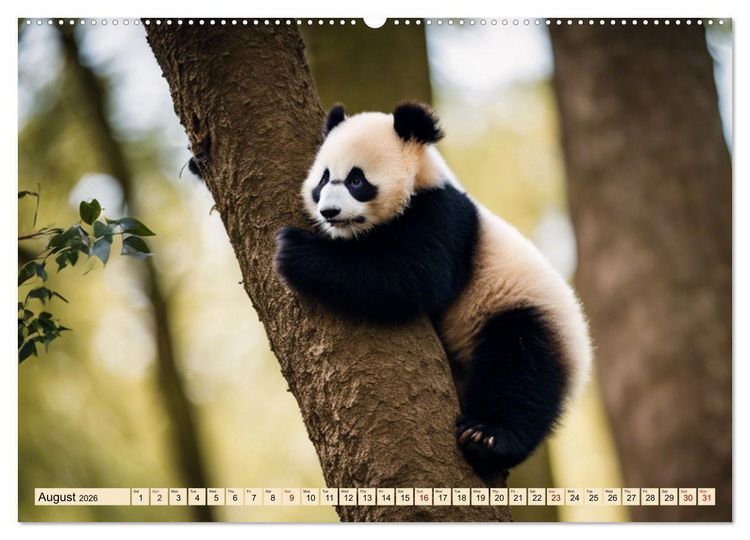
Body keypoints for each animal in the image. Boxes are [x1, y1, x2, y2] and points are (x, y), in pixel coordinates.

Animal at [275, 102, 593, 481]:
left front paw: (295, 251)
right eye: (323, 179)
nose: (329, 212)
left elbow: (407, 277)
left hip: (526, 312)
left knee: (520, 373)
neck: (421, 179)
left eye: (356, 180)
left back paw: (487, 439)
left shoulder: (444, 218)